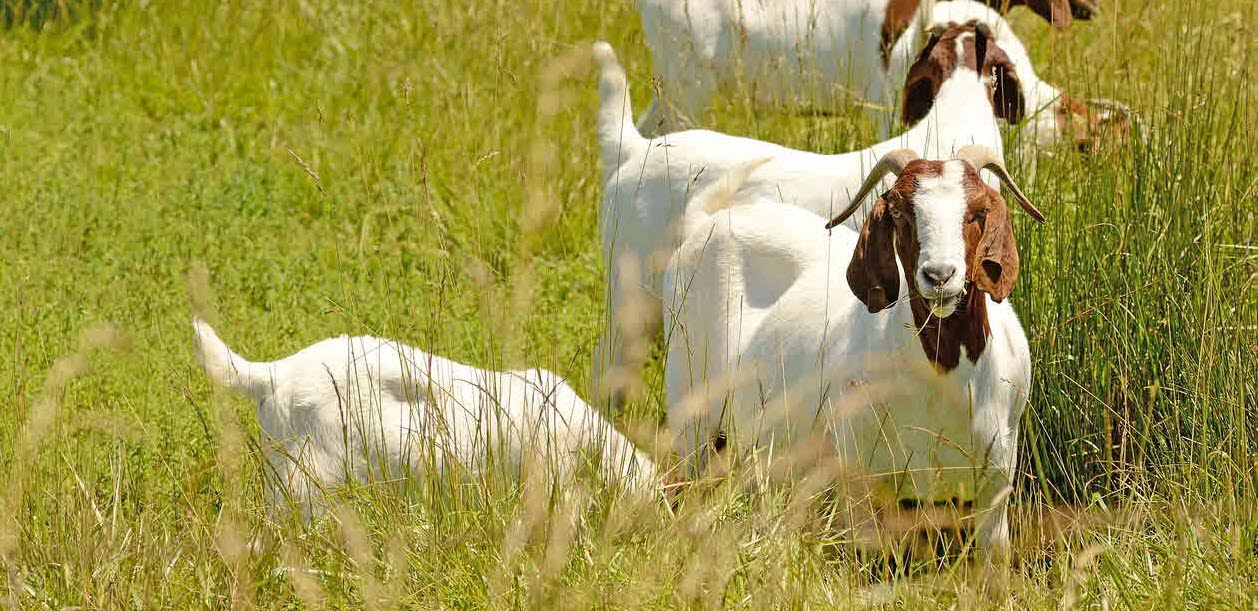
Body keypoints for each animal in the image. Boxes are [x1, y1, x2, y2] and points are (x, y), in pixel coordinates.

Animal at [664, 145, 1046, 560]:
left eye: (978, 210)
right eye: (898, 211)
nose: (940, 276)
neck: (941, 383)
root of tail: (707, 222)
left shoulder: (995, 485)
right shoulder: (860, 481)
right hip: (690, 410)